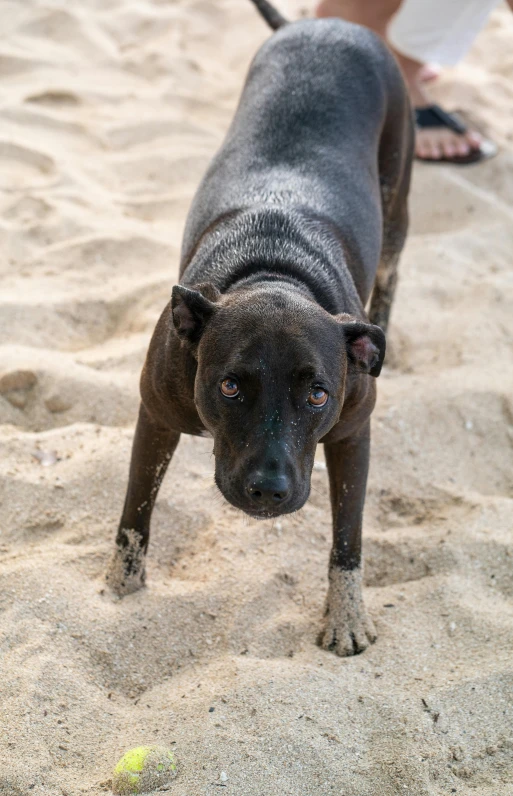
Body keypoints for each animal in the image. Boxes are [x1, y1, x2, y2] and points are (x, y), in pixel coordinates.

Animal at [106, 0, 414, 656]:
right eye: (229, 386)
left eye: (318, 395)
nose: (269, 490)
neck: (275, 272)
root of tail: (326, 25)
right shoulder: (155, 418)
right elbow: (135, 512)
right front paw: (119, 589)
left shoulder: (352, 437)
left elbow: (348, 537)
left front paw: (346, 617)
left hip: (398, 201)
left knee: (392, 272)